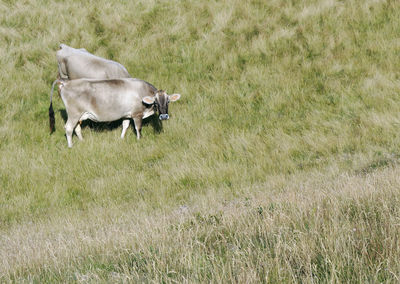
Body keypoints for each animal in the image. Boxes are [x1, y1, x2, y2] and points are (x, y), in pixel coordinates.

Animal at [47, 78, 182, 148]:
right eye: (156, 102)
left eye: (168, 101)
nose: (164, 116)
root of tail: (65, 82)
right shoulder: (136, 114)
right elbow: (138, 128)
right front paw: (139, 140)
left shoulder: (126, 114)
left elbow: (125, 126)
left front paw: (121, 138)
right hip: (74, 113)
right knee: (69, 128)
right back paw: (70, 146)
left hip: (79, 115)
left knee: (76, 128)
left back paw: (82, 141)